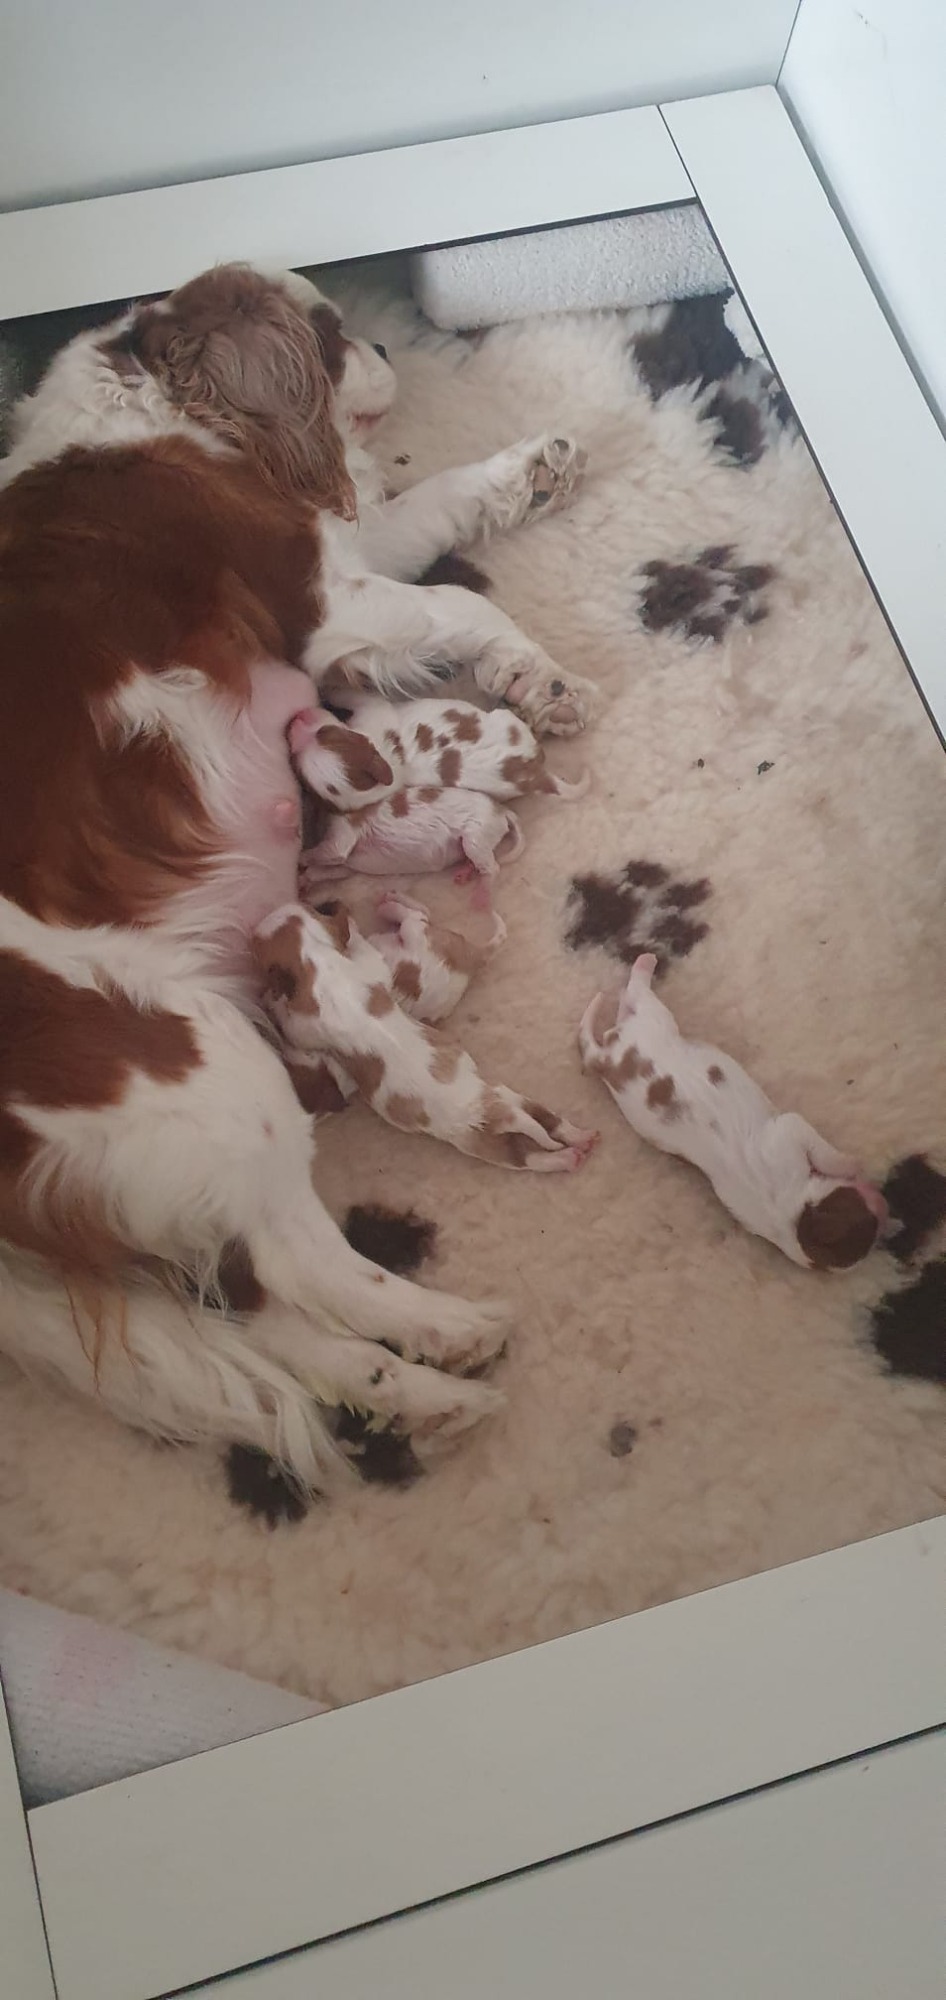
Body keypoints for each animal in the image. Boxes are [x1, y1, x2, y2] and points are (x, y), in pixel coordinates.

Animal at [579, 953, 887, 1269]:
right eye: (861, 1211)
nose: (885, 1207)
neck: (791, 1217)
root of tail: (602, 1060)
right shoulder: (787, 1134)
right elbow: (823, 1151)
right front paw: (851, 1163)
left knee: (624, 1007)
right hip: (655, 1020)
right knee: (638, 992)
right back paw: (646, 961)